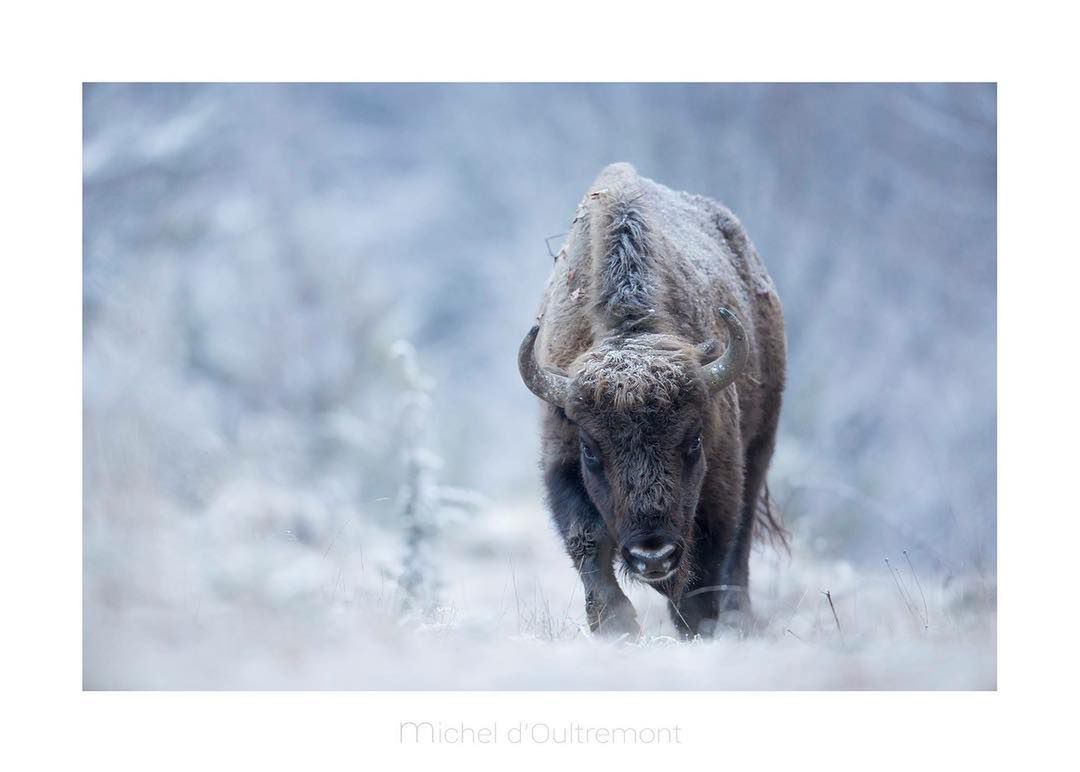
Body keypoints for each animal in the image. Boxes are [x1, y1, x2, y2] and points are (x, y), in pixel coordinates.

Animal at [516, 159, 786, 639]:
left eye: (693, 441)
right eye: (591, 450)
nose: (652, 555)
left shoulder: (723, 474)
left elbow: (709, 562)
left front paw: (700, 626)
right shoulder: (560, 457)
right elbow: (586, 542)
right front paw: (615, 625)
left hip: (761, 446)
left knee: (740, 547)